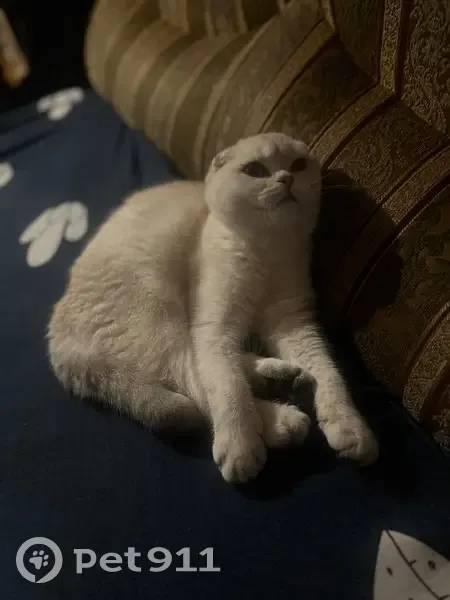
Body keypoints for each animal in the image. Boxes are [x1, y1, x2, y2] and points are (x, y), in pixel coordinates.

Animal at [48, 132, 378, 483]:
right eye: (256, 170)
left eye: (299, 165)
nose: (286, 178)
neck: (266, 251)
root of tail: (59, 339)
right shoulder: (214, 326)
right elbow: (227, 388)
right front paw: (241, 447)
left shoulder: (294, 324)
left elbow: (329, 374)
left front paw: (351, 429)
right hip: (159, 317)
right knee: (195, 378)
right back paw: (280, 421)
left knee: (220, 368)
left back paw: (278, 379)